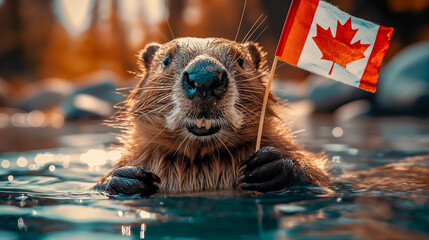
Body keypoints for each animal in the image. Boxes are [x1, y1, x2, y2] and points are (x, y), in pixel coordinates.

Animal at [94, 36, 328, 196]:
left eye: (241, 60)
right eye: (166, 60)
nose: (204, 76)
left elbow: (323, 180)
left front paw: (267, 166)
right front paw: (131, 178)